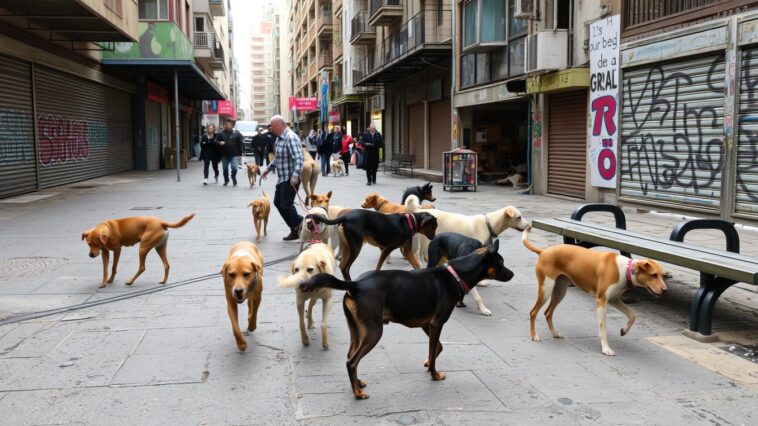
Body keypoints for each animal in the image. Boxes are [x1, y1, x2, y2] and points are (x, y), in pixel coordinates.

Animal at [300, 240, 512, 400]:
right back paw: (358, 394)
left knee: (350, 357)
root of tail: (356, 284)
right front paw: (434, 374)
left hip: (357, 330)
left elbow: (437, 348)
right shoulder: (436, 324)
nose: (512, 274)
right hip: (373, 332)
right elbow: (435, 351)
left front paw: (427, 363)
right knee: (352, 362)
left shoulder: (427, 325)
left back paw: (358, 383)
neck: (456, 275)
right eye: (500, 263)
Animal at [310, 211, 440, 282]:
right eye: (433, 226)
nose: (434, 237)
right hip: (356, 247)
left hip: (347, 247)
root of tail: (345, 217)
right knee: (346, 268)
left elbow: (416, 265)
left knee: (342, 266)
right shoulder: (387, 249)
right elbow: (378, 266)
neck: (410, 221)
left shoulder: (407, 250)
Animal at [524, 226, 668, 356]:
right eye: (654, 275)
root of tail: (543, 251)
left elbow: (632, 315)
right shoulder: (601, 300)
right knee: (533, 312)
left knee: (548, 313)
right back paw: (533, 335)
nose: (665, 290)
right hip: (546, 289)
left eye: (663, 275)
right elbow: (603, 327)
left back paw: (555, 333)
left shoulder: (614, 300)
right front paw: (605, 348)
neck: (625, 270)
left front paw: (624, 330)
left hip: (560, 291)